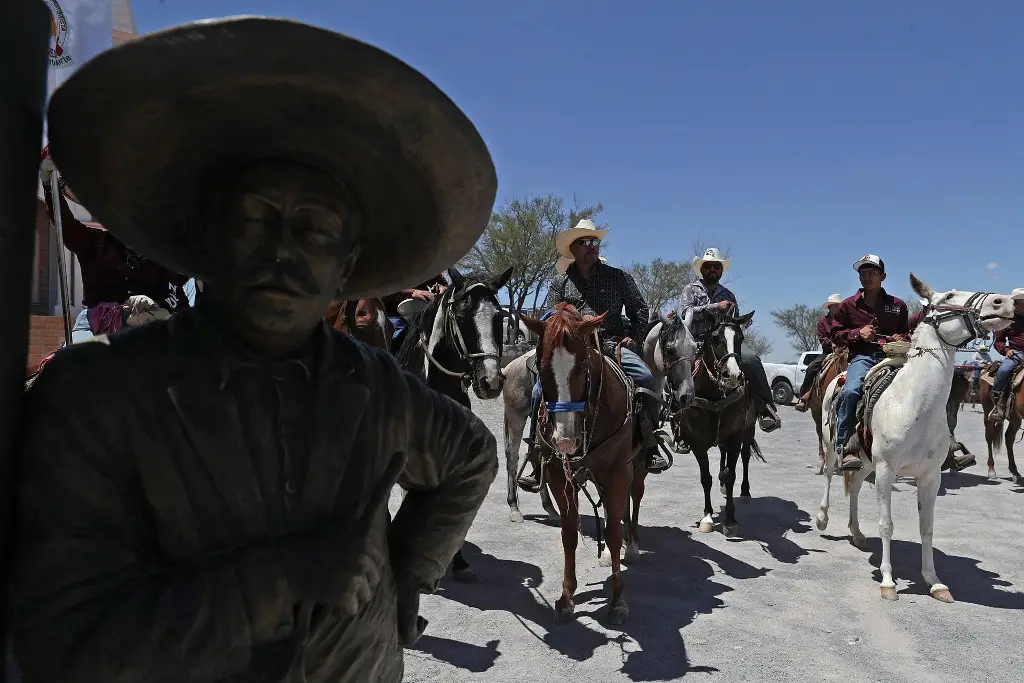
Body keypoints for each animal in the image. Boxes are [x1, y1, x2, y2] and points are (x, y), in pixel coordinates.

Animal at [520, 305, 647, 626]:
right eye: (540, 368)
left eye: (583, 367)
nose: (565, 440)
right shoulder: (559, 477)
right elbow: (569, 533)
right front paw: (566, 597)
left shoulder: (616, 474)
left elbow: (612, 534)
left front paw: (618, 600)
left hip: (637, 467)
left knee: (635, 497)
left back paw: (632, 545)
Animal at [667, 307, 765, 536]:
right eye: (714, 338)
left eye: (740, 338)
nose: (733, 376)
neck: (714, 395)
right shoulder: (697, 442)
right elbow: (706, 477)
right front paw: (707, 517)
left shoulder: (735, 436)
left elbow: (731, 474)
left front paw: (730, 520)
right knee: (722, 455)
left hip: (749, 430)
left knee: (745, 457)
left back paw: (745, 492)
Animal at [815, 274, 1015, 602]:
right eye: (948, 296)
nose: (1004, 302)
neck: (914, 406)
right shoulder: (886, 472)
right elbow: (886, 525)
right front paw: (888, 581)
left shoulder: (931, 477)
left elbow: (927, 528)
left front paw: (934, 581)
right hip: (834, 446)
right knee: (831, 474)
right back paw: (822, 518)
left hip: (866, 461)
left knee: (854, 486)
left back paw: (856, 532)